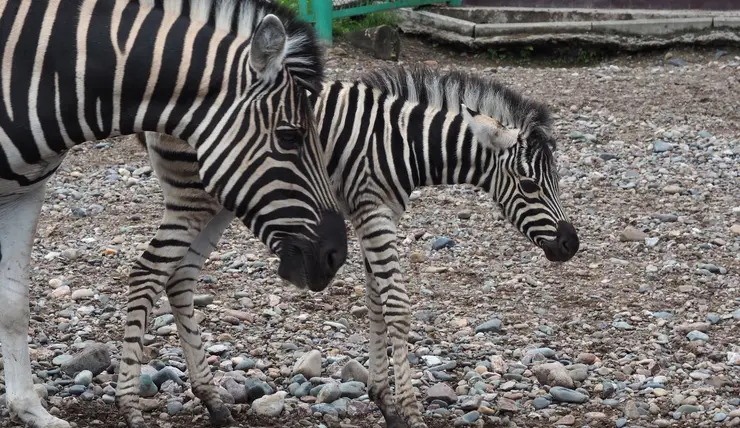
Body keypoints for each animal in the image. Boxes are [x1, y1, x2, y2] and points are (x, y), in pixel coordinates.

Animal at [137, 63, 580, 428]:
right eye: (529, 185)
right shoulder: (373, 210)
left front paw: (384, 401)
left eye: (556, 180)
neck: (404, 144)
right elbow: (396, 305)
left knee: (180, 279)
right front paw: (410, 412)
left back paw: (213, 402)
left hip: (219, 204)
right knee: (152, 271)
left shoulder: (380, 214)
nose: (571, 244)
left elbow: (375, 302)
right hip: (193, 197)